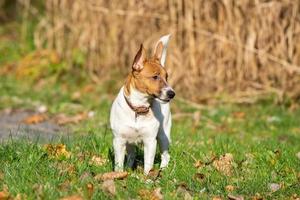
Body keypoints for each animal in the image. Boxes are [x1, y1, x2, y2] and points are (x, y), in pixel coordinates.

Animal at [110, 35, 176, 174]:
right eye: (155, 77)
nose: (172, 93)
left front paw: (147, 177)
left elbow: (148, 164)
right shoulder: (119, 140)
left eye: (167, 77)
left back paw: (163, 170)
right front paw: (118, 175)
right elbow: (119, 163)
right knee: (131, 154)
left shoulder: (150, 141)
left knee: (166, 155)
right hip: (129, 142)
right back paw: (129, 169)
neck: (138, 108)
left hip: (163, 136)